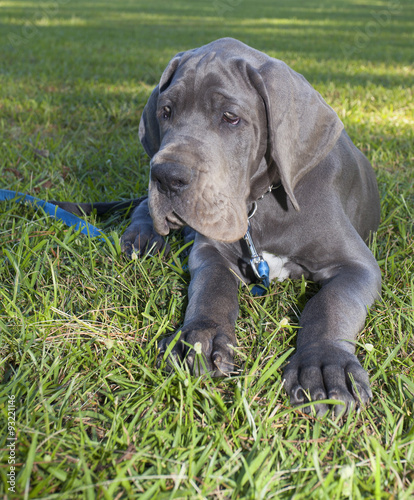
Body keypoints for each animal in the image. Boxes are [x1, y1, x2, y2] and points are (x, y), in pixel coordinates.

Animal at [120, 37, 382, 416]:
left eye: (231, 118)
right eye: (166, 112)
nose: (166, 176)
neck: (263, 203)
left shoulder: (357, 265)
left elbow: (330, 303)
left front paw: (323, 364)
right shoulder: (210, 251)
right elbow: (212, 287)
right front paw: (201, 337)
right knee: (142, 204)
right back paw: (143, 237)